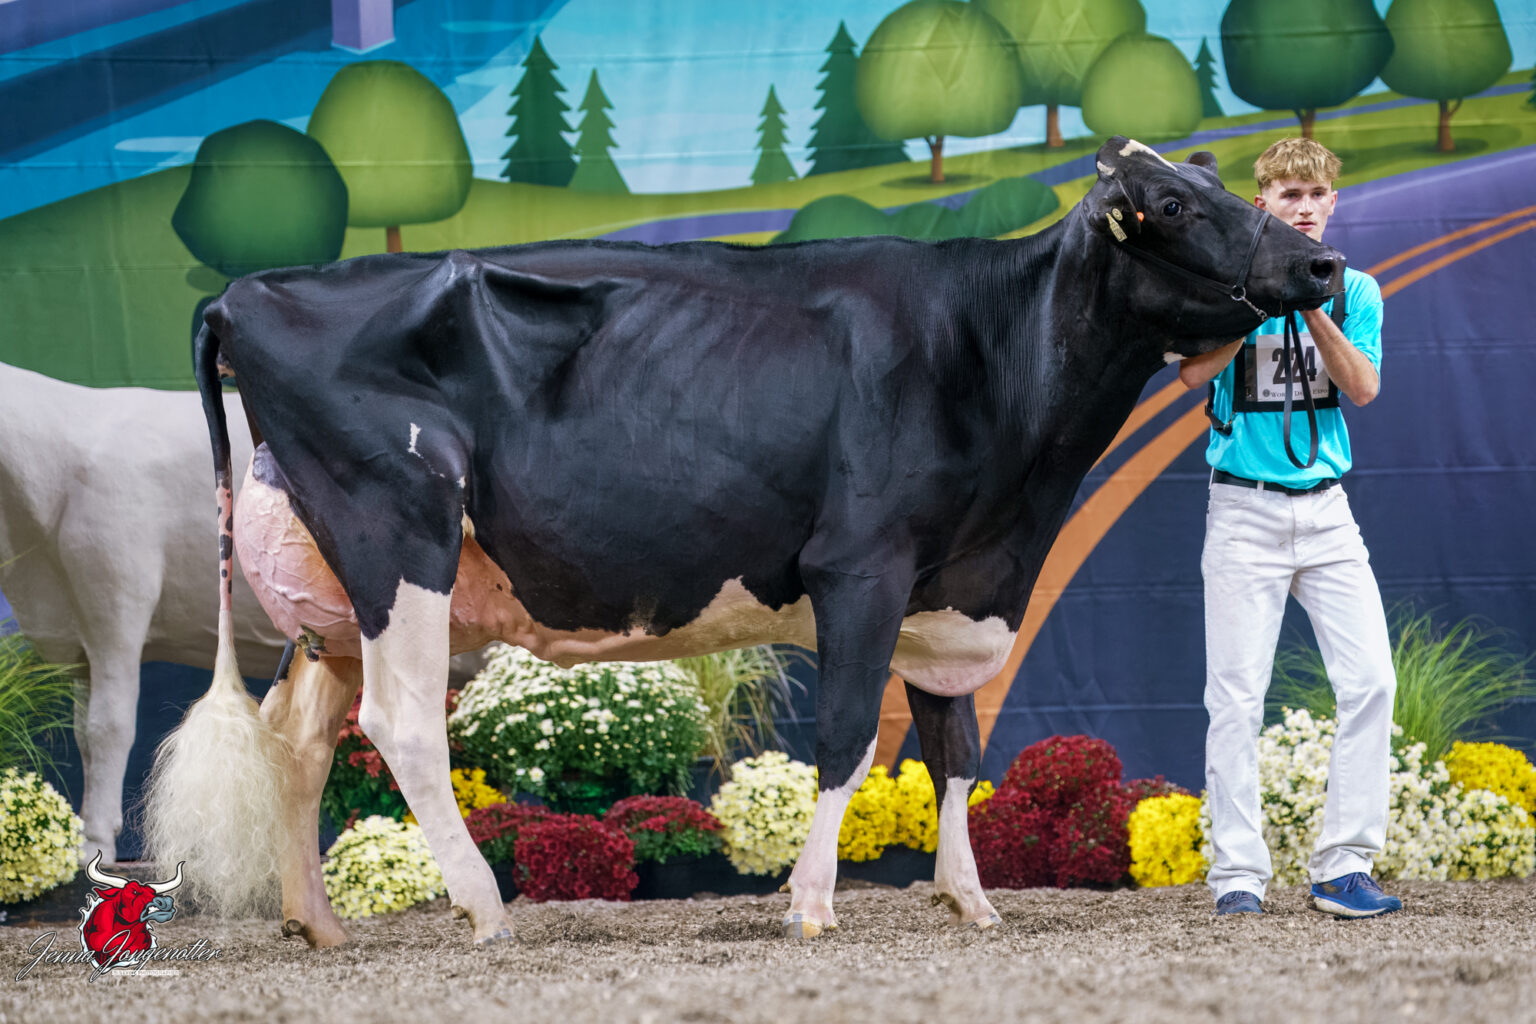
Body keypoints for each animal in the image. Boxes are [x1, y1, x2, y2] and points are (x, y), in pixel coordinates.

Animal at [144, 138, 1344, 948]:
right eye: (1178, 203)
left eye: (1234, 191)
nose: (1323, 270)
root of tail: (248, 292)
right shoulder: (862, 565)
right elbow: (852, 735)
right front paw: (808, 903)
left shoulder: (954, 581)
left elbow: (955, 749)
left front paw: (970, 898)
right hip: (401, 536)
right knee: (400, 728)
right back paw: (485, 910)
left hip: (336, 595)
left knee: (297, 737)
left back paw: (316, 922)